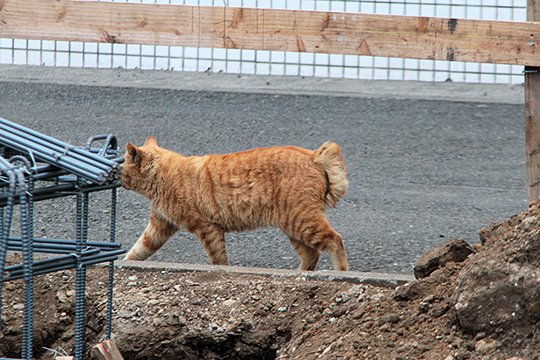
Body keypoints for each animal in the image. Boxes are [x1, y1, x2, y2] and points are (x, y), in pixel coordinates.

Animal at [121, 136, 350, 272]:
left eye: (120, 165)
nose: (115, 173)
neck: (164, 176)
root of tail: (314, 156)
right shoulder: (159, 227)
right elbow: (137, 251)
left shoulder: (207, 229)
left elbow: (219, 260)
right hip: (293, 227)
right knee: (311, 254)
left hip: (302, 221)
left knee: (335, 241)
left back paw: (340, 272)